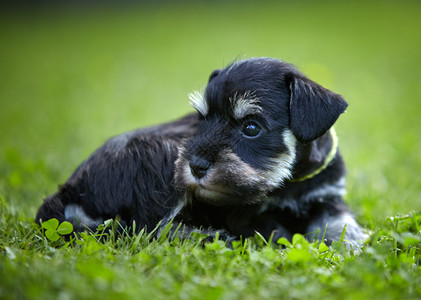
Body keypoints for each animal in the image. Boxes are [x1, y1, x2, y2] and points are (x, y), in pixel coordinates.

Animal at [37, 56, 368, 246]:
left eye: (251, 127)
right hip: (159, 159)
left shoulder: (327, 196)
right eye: (202, 119)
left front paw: (354, 243)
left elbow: (339, 222)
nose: (195, 166)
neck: (290, 183)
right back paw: (208, 237)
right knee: (147, 230)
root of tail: (71, 187)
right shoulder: (244, 214)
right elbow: (276, 231)